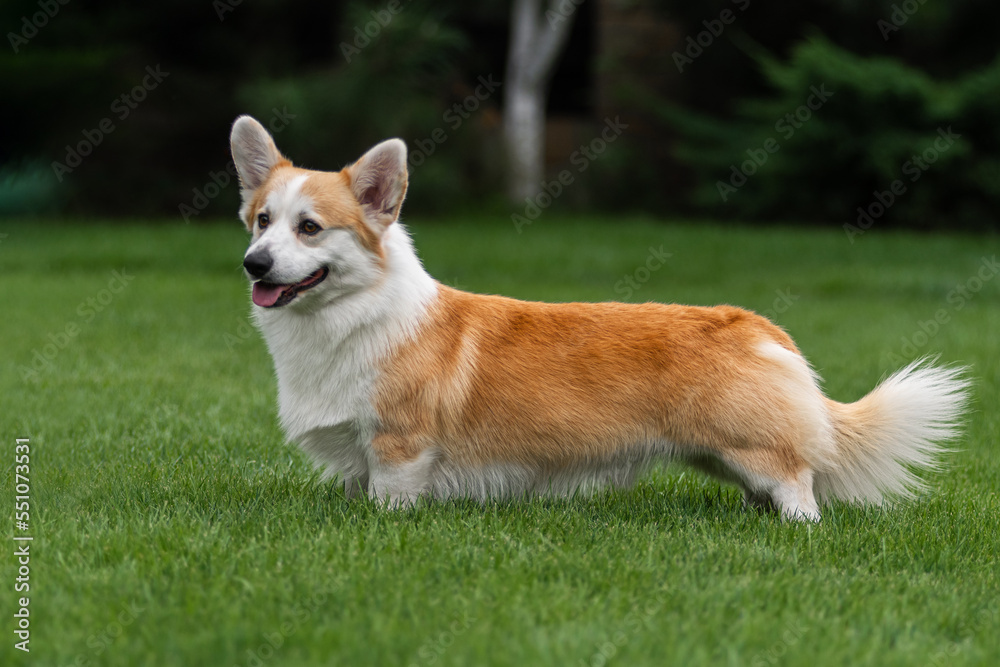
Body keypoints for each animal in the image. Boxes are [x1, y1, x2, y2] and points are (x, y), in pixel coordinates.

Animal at [229, 115, 968, 520]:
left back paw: (796, 531)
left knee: (799, 486)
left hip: (752, 448)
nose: (254, 264)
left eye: (311, 228)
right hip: (719, 453)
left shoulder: (400, 446)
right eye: (262, 220)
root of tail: (760, 326)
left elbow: (392, 496)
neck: (351, 317)